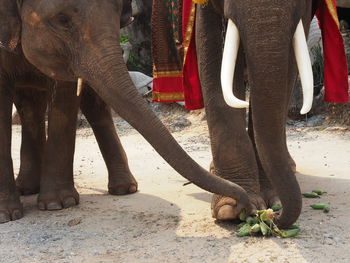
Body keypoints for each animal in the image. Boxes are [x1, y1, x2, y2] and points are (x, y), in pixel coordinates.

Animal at [0, 0, 252, 225]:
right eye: (62, 20)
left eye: (118, 13)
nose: (244, 204)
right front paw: (7, 216)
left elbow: (65, 94)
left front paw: (58, 204)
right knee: (31, 105)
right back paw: (27, 189)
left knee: (89, 106)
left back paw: (122, 189)